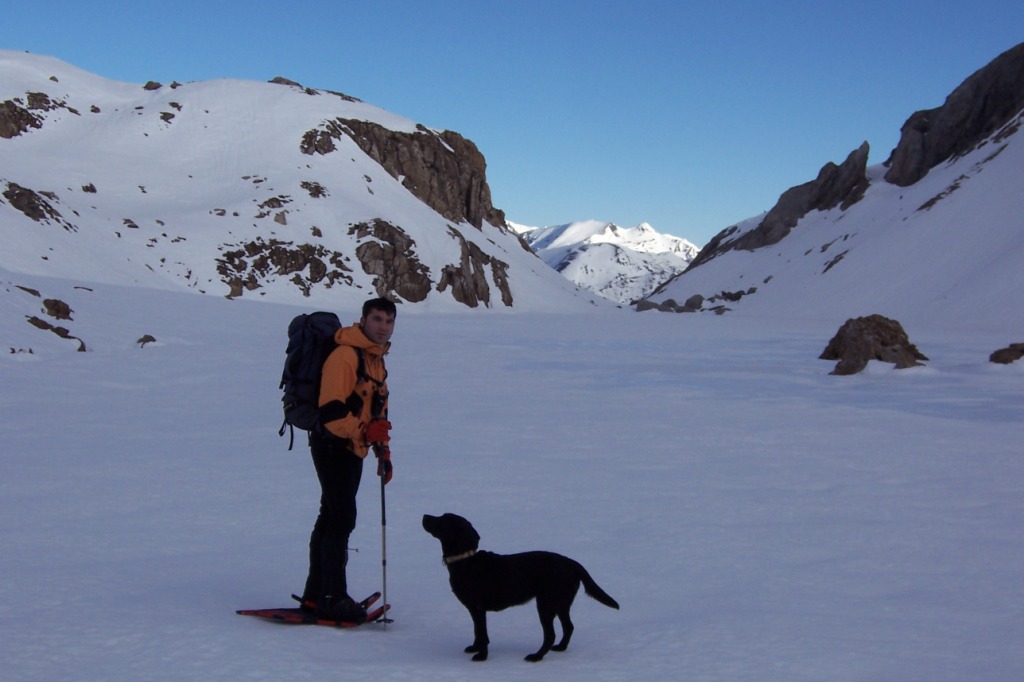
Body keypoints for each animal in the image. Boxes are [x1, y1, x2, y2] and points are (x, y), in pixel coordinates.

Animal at [421, 512, 618, 655]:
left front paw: (481, 656)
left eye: (443, 520)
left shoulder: (478, 608)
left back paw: (536, 657)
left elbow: (482, 633)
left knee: (550, 634)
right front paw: (474, 649)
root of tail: (572, 563)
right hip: (561, 603)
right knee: (568, 627)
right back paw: (560, 648)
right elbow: (478, 632)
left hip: (546, 604)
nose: (424, 515)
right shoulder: (474, 609)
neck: (466, 561)